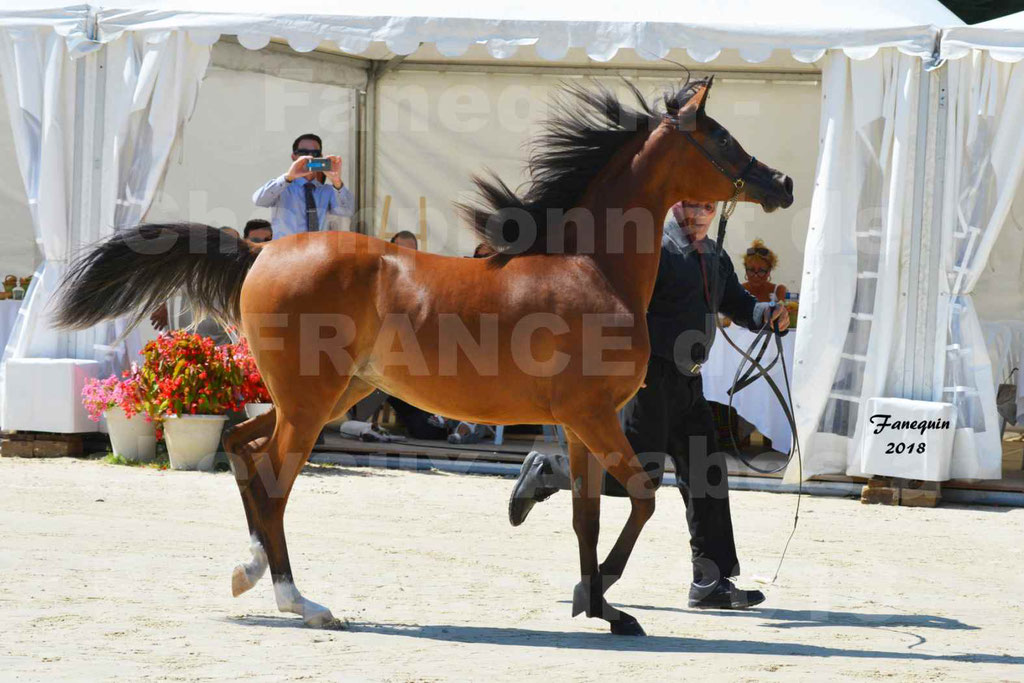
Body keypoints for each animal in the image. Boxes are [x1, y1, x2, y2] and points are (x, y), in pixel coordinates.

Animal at [54, 77, 790, 638]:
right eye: (722, 138)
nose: (780, 182)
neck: (591, 265)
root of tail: (263, 250)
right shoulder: (593, 415)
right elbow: (640, 494)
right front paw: (602, 592)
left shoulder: (585, 422)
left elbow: (589, 512)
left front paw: (602, 607)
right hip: (310, 402)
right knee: (270, 476)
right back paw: (300, 602)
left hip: (325, 395)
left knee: (240, 445)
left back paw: (251, 569)